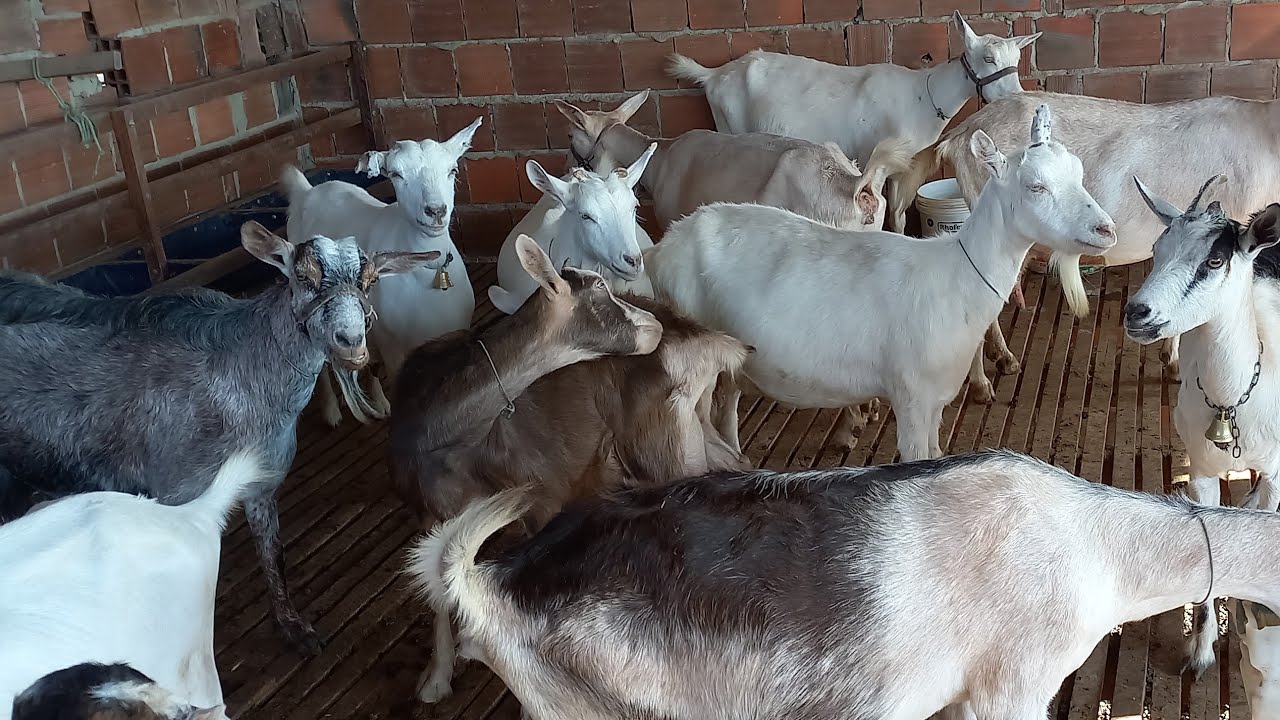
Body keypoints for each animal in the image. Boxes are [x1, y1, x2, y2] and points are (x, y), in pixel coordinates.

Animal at [0, 222, 438, 654]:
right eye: (302, 277)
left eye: (369, 282)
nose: (351, 343)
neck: (246, 376)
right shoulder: (171, 496)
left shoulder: (262, 485)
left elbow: (273, 553)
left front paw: (293, 627)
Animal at [283, 117, 483, 426]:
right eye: (396, 174)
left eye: (453, 170)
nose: (436, 211)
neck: (428, 271)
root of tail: (306, 190)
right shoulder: (395, 349)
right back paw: (331, 411)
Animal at [390, 235, 749, 704]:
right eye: (599, 287)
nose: (652, 326)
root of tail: (704, 341)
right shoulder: (426, 509)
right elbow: (432, 588)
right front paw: (435, 678)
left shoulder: (542, 492)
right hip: (693, 425)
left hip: (663, 442)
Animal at [645, 105, 1114, 461]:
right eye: (1036, 186)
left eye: (1077, 172)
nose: (1105, 229)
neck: (958, 276)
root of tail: (666, 244)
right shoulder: (911, 396)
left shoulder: (934, 401)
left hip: (733, 362)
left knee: (726, 407)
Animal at [1124, 177, 1280, 689]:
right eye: (1156, 249)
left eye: (1214, 260)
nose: (1137, 313)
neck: (1233, 401)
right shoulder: (1201, 472)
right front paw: (1202, 650)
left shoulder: (1276, 471)